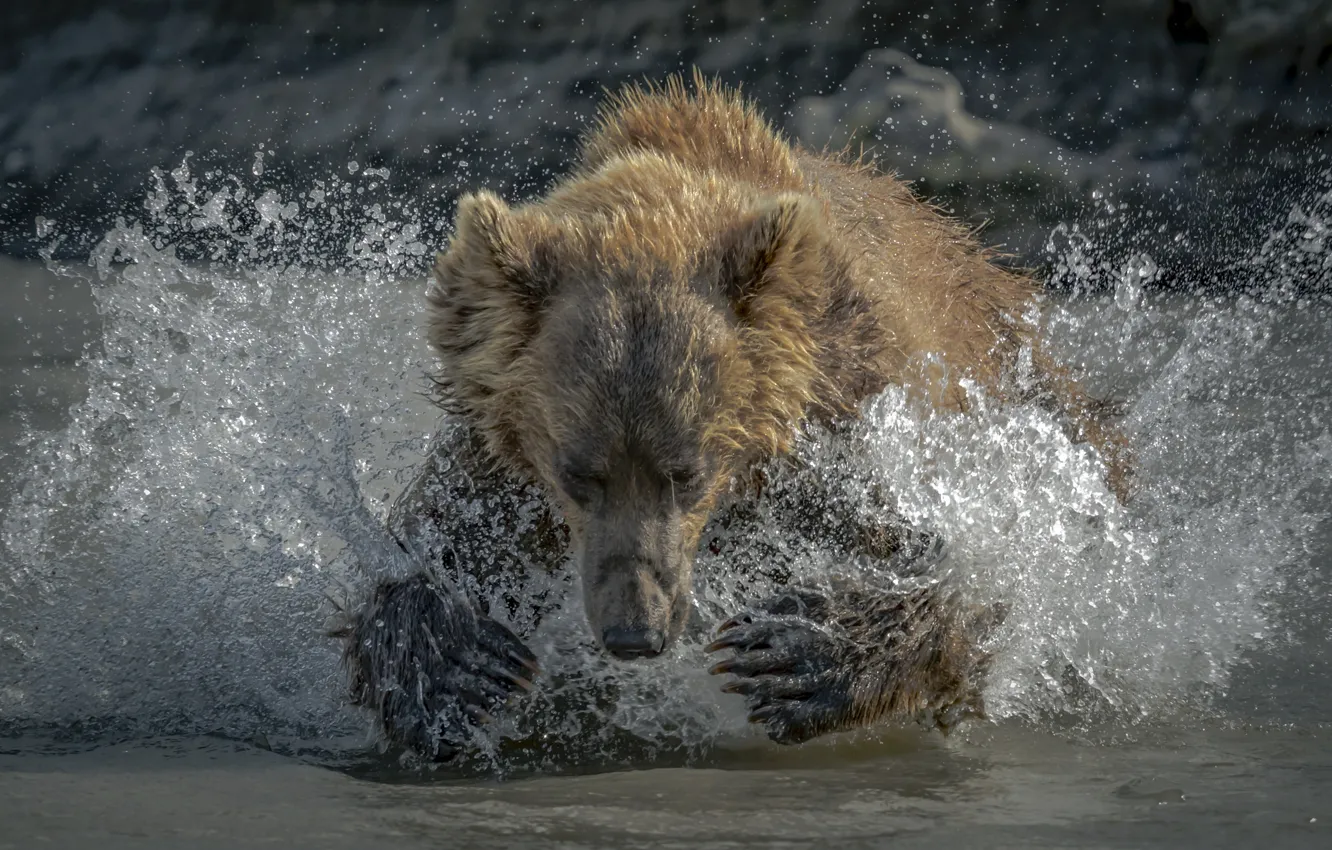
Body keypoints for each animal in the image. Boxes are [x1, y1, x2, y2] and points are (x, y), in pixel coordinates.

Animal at [334, 72, 1130, 762]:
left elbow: (985, 566)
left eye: (686, 471)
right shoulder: (499, 469)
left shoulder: (855, 423)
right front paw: (453, 665)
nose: (636, 633)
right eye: (577, 473)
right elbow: (430, 549)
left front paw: (791, 653)